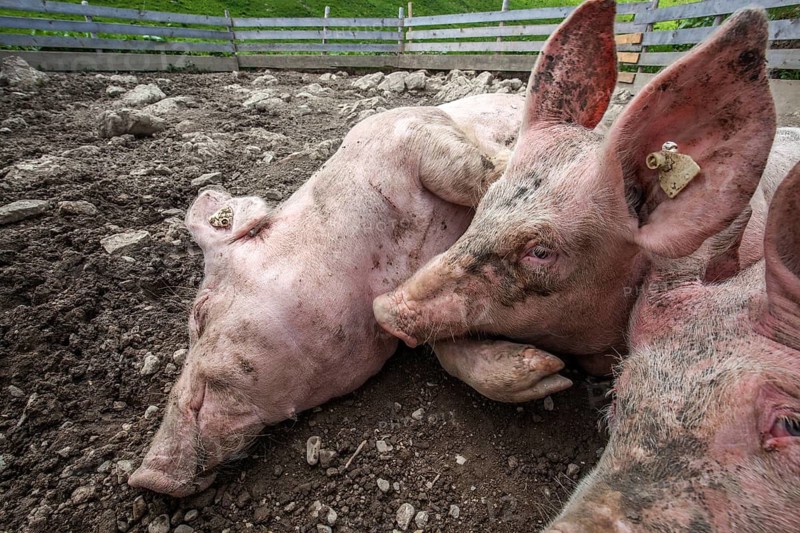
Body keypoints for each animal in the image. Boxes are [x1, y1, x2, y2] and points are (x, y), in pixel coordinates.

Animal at [127, 93, 525, 497]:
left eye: (200, 313)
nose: (144, 477)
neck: (390, 266)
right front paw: (538, 370)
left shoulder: (409, 132)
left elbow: (479, 174)